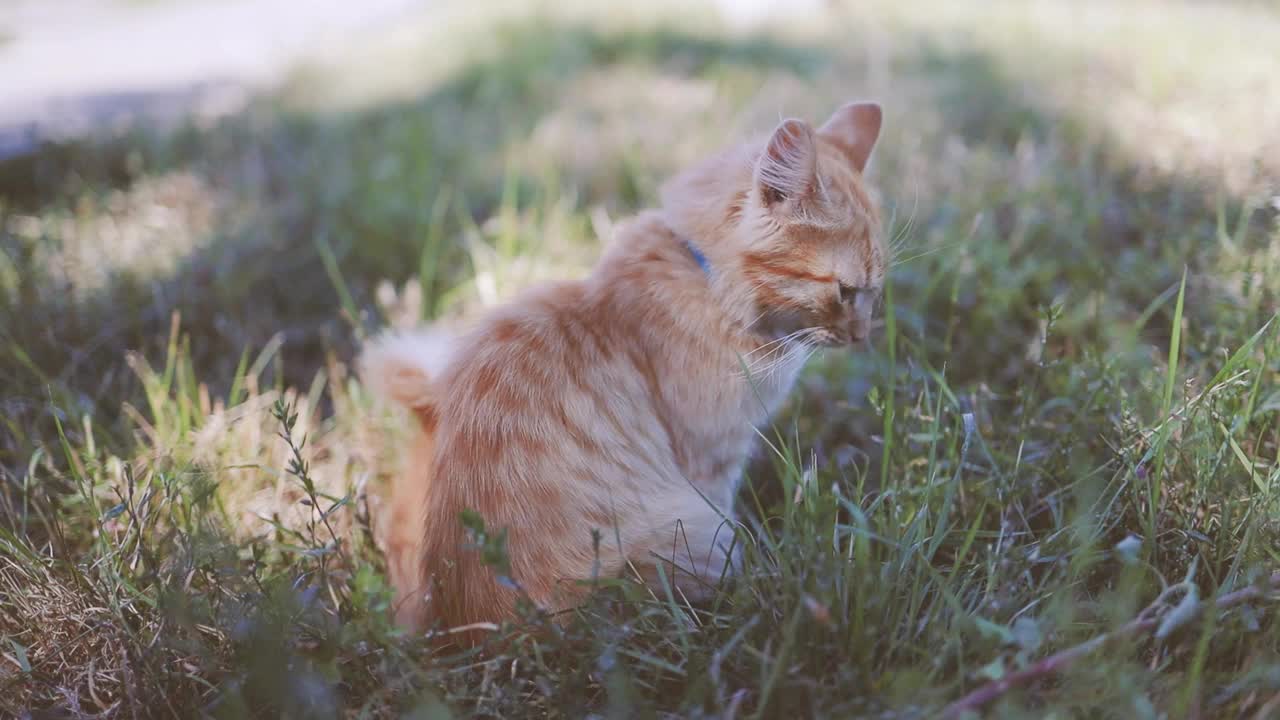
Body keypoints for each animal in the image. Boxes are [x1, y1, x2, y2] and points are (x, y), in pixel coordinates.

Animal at [355, 98, 885, 635]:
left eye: (875, 291)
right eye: (845, 291)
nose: (862, 336)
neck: (707, 280)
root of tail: (464, 630)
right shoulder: (711, 464)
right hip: (688, 537)